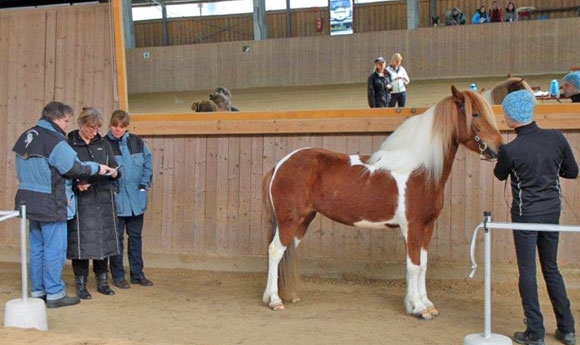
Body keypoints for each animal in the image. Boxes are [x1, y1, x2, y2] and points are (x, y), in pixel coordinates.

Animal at [262, 85, 502, 318]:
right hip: (290, 220)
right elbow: (414, 266)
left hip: (304, 220)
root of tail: (280, 165)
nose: (498, 149)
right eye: (475, 113)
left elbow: (423, 266)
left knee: (286, 251)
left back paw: (285, 295)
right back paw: (275, 300)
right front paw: (418, 308)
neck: (420, 170)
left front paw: (426, 304)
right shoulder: (412, 227)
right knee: (275, 251)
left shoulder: (427, 227)